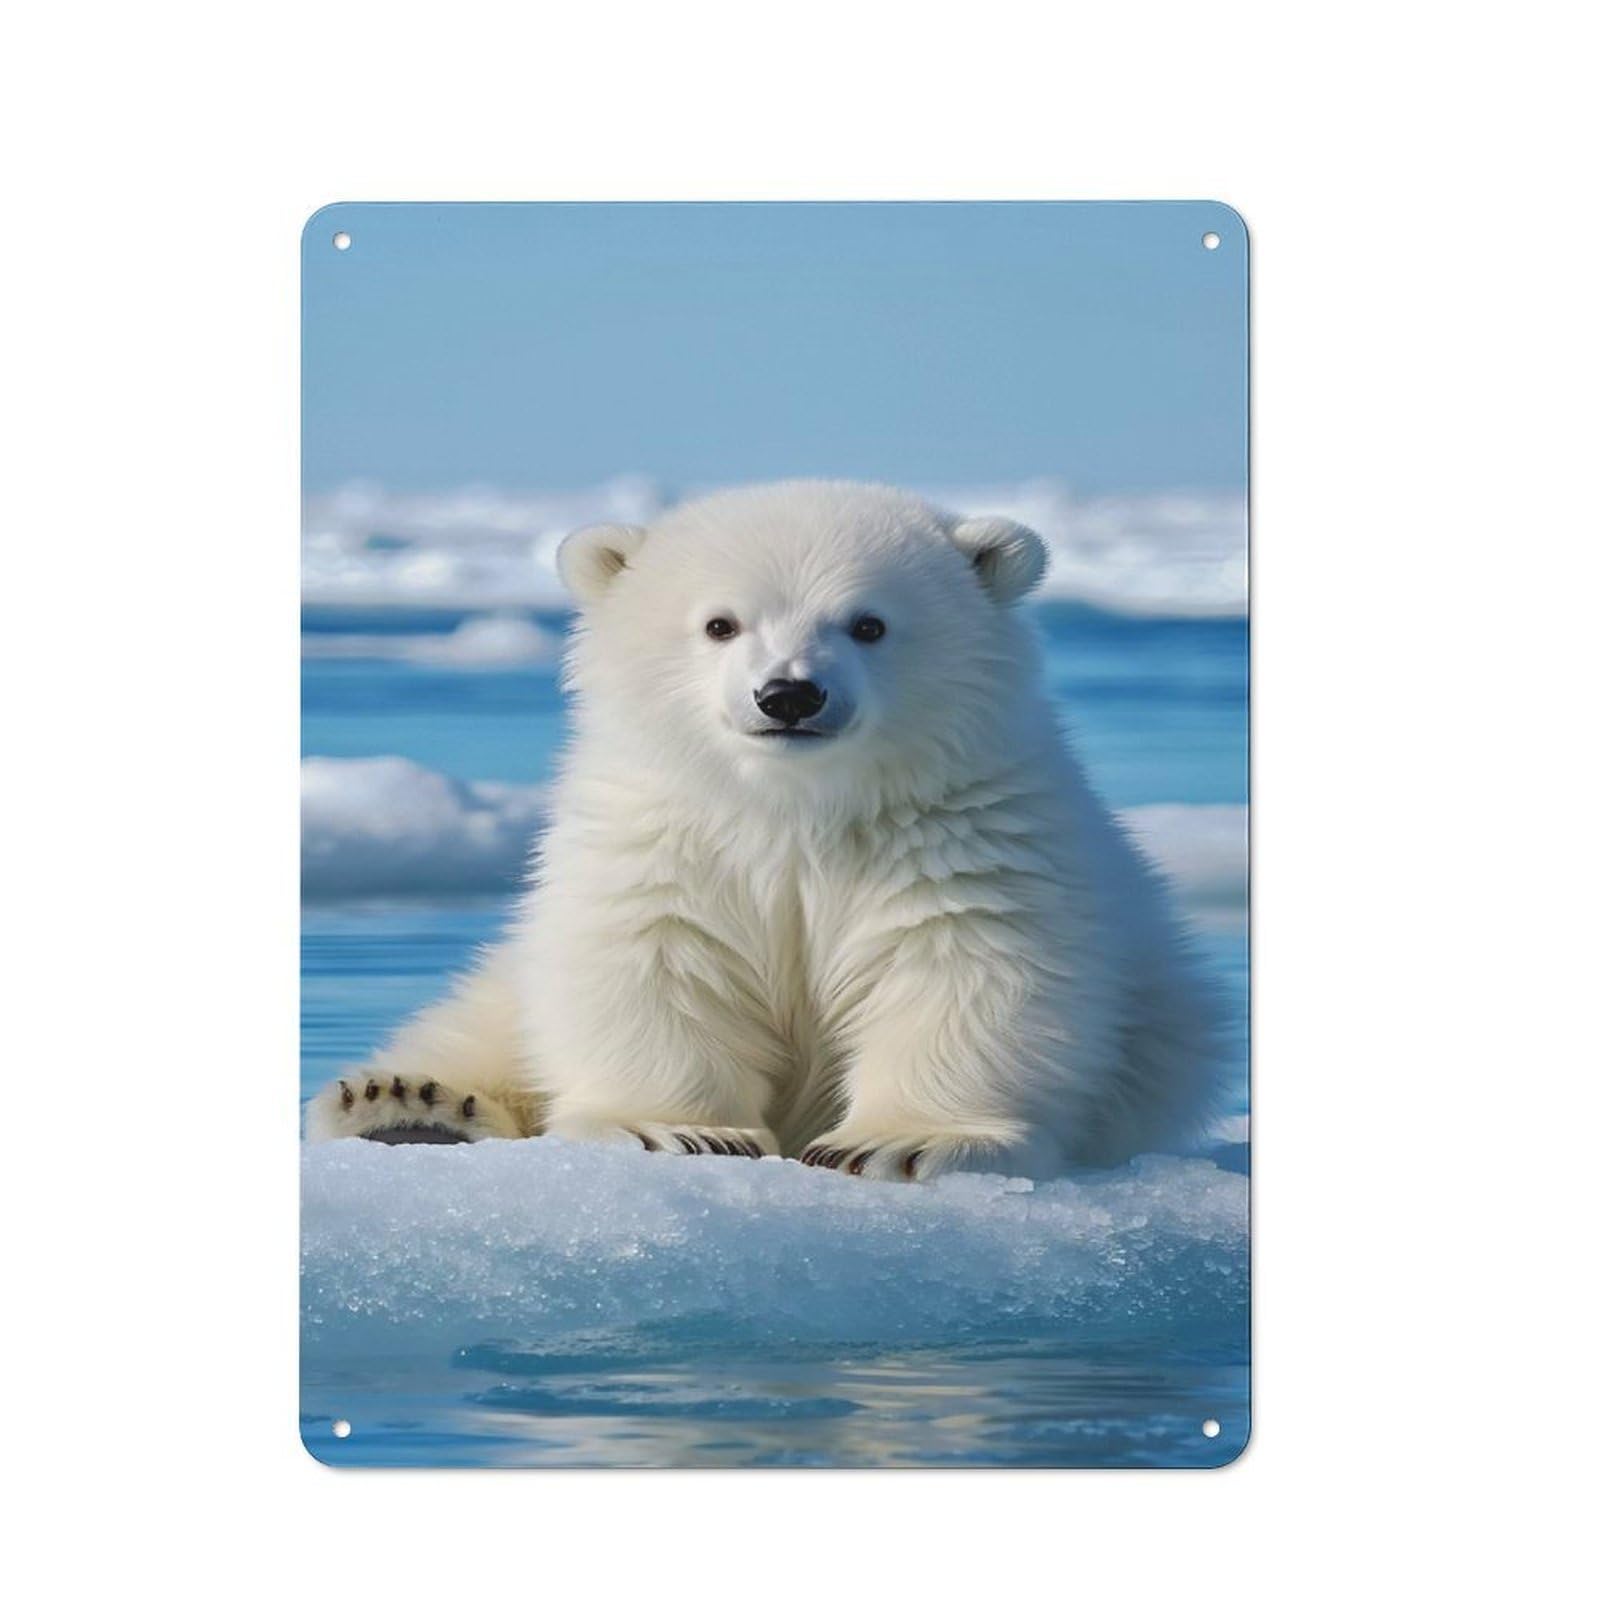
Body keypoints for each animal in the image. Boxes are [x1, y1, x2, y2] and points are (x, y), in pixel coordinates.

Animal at [305, 480, 1224, 1178]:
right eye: (721, 624)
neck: (797, 809)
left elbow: (963, 966)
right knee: (482, 1018)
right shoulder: (671, 838)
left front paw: (901, 1141)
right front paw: (678, 1127)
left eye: (868, 623)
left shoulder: (963, 834)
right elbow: (652, 959)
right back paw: (407, 1104)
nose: (789, 694)